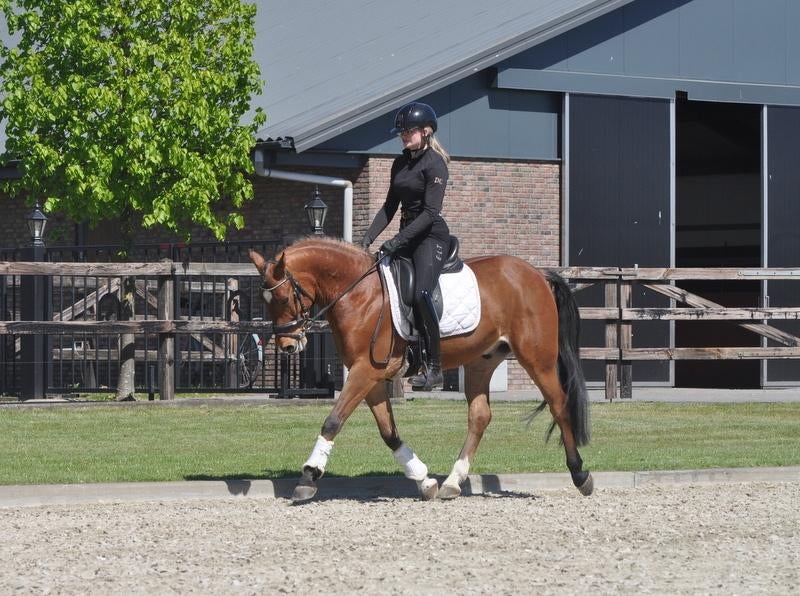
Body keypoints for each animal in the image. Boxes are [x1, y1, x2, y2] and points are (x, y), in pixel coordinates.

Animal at [249, 237, 592, 502]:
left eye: (282, 297)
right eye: (265, 301)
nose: (288, 346)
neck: (359, 293)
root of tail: (537, 275)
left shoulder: (364, 371)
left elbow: (333, 420)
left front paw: (308, 476)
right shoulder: (371, 377)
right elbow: (388, 432)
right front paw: (424, 480)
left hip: (537, 358)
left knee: (559, 404)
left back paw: (580, 474)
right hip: (482, 360)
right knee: (480, 416)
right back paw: (452, 482)